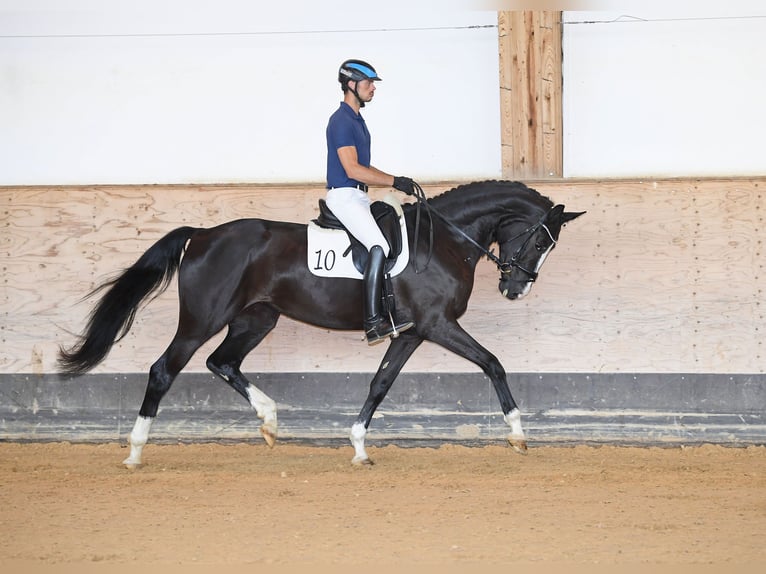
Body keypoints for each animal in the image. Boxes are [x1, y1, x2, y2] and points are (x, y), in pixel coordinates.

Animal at [60, 181, 584, 468]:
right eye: (540, 241)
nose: (516, 290)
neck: (443, 240)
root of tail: (204, 234)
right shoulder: (438, 325)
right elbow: (493, 363)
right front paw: (517, 434)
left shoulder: (414, 332)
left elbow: (380, 384)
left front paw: (358, 447)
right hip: (202, 319)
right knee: (164, 370)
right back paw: (135, 451)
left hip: (256, 319)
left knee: (222, 362)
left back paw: (270, 420)